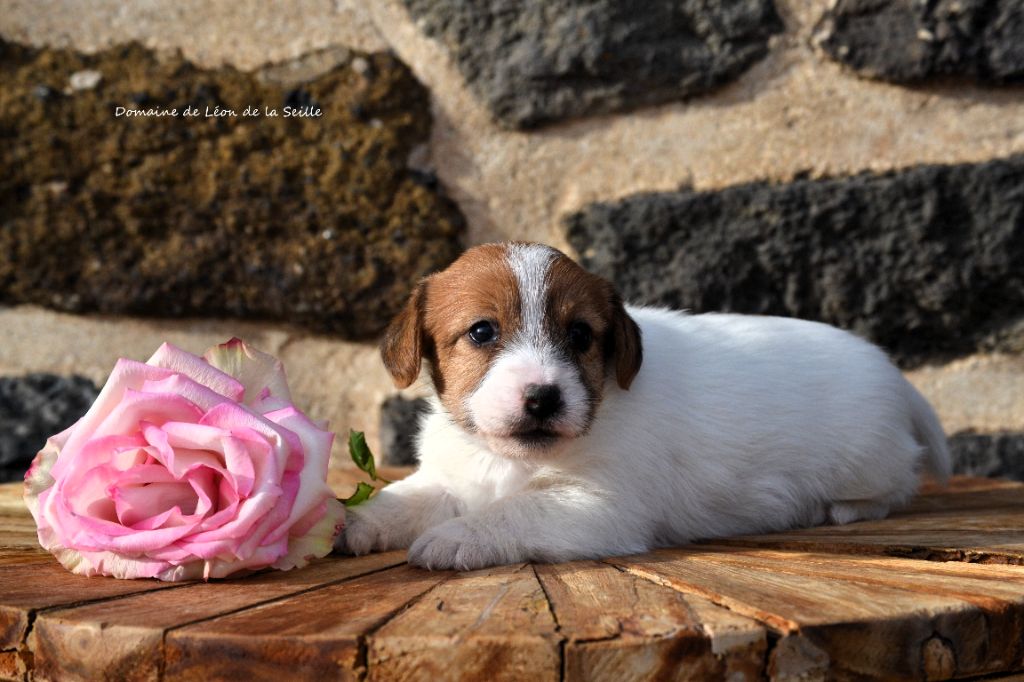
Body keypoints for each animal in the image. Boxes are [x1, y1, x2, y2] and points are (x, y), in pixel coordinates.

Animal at [337, 241, 950, 565]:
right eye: (482, 332)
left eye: (581, 336)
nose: (543, 397)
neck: (513, 460)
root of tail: (894, 376)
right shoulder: (450, 477)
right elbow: (404, 498)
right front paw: (355, 522)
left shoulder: (596, 506)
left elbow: (511, 511)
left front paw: (455, 538)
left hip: (869, 462)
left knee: (898, 485)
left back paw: (842, 509)